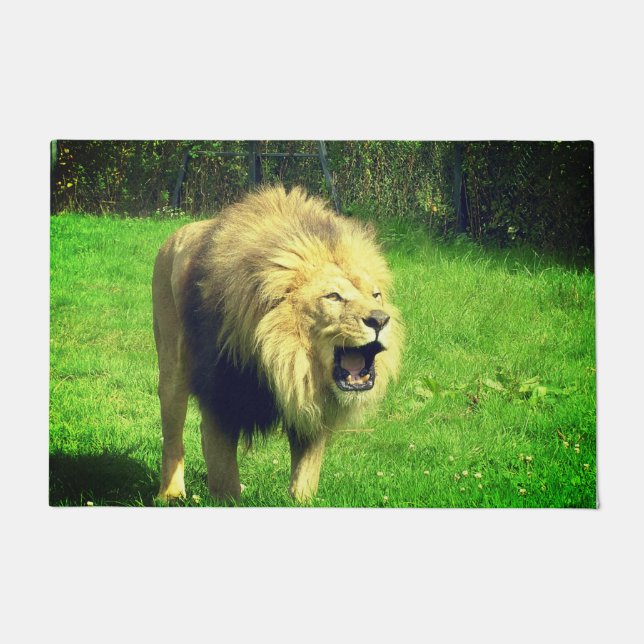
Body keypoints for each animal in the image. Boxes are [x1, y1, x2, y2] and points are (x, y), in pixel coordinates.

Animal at [153, 185, 402, 503]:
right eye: (333, 296)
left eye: (376, 295)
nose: (380, 320)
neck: (285, 358)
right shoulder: (221, 396)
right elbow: (224, 479)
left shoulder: (311, 405)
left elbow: (305, 480)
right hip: (172, 368)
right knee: (172, 435)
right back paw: (170, 494)